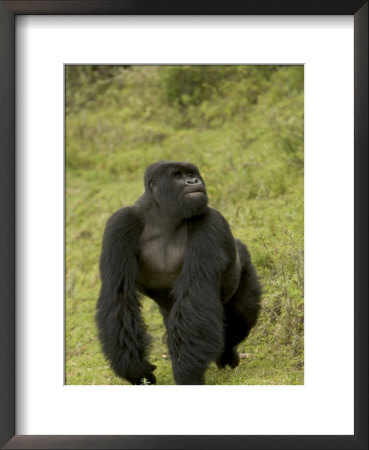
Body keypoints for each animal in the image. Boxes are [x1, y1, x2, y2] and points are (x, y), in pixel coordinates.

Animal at [96, 160, 260, 384]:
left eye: (191, 174)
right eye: (178, 176)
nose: (194, 181)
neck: (163, 217)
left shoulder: (210, 222)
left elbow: (196, 295)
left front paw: (186, 372)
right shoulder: (120, 224)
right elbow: (118, 295)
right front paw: (135, 368)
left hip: (244, 263)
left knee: (243, 311)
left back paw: (227, 353)